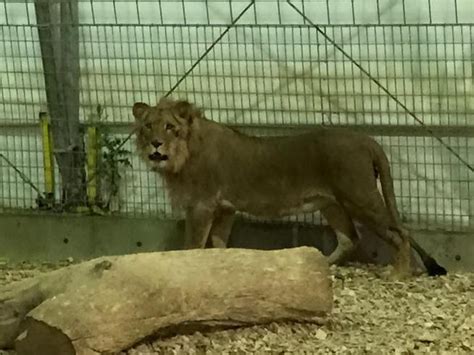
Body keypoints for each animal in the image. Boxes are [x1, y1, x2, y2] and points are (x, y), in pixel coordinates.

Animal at [132, 97, 448, 278]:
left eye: (169, 127)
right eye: (148, 126)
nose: (155, 144)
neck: (183, 154)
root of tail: (367, 139)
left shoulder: (202, 205)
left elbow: (193, 245)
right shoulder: (225, 208)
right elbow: (218, 244)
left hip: (359, 197)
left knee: (399, 234)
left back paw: (398, 275)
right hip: (331, 204)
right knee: (350, 238)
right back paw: (321, 265)